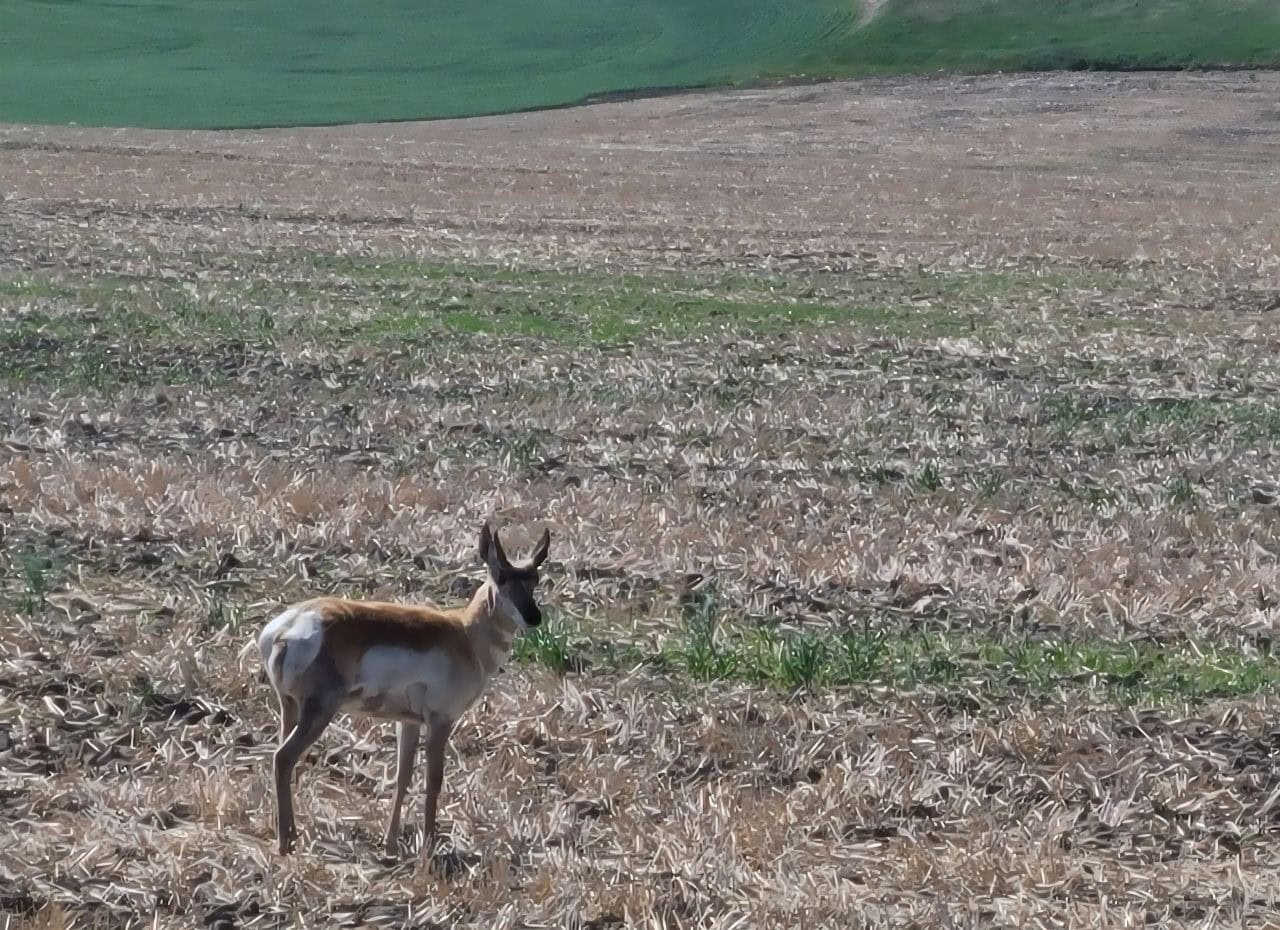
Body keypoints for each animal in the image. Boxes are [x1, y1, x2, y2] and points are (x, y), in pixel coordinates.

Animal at [255, 522, 552, 858]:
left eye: (534, 579)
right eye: (500, 576)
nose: (533, 616)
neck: (464, 633)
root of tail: (283, 630)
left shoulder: (407, 723)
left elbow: (402, 777)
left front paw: (391, 843)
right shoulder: (441, 720)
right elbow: (434, 779)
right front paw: (430, 844)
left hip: (290, 707)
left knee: (282, 757)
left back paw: (289, 832)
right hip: (319, 712)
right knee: (283, 758)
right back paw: (285, 843)